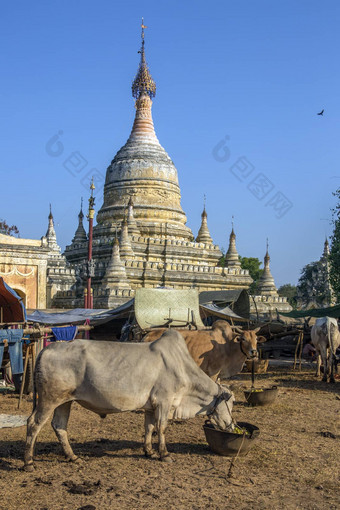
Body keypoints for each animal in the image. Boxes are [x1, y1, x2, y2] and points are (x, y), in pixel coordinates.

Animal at [23, 330, 235, 470]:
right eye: (231, 404)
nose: (232, 426)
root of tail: (47, 349)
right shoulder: (164, 401)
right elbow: (162, 427)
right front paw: (164, 454)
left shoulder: (151, 406)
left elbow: (149, 427)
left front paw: (149, 451)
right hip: (49, 399)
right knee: (34, 423)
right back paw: (28, 462)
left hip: (65, 401)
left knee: (59, 426)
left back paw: (73, 457)